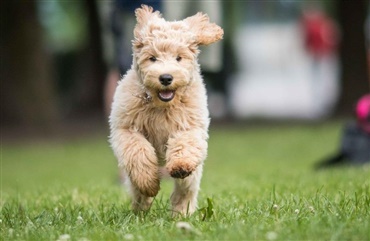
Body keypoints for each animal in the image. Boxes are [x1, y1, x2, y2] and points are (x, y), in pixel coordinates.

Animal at [108, 4, 224, 215]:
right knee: (137, 189)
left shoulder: (190, 126)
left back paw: (182, 212)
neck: (161, 105)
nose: (166, 77)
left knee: (185, 189)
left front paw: (180, 165)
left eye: (179, 58)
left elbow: (185, 144)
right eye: (152, 58)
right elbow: (138, 151)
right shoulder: (126, 128)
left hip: (192, 175)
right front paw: (148, 183)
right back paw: (141, 206)